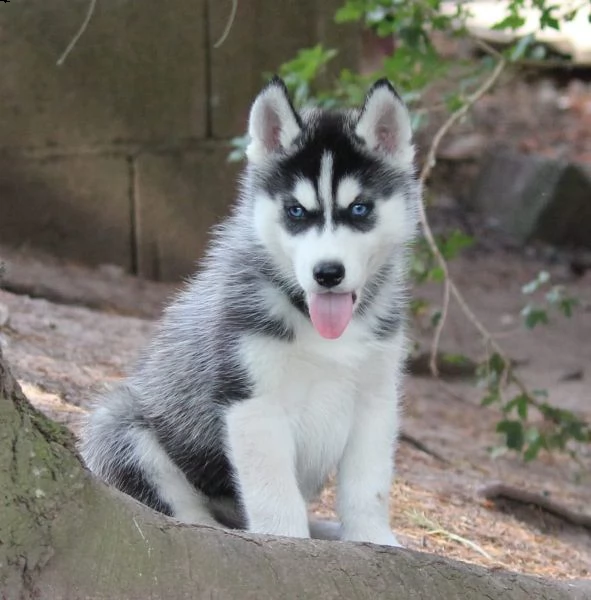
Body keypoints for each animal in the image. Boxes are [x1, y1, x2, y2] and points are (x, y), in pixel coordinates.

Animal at [80, 75, 420, 544]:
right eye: (296, 211)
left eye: (359, 209)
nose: (327, 273)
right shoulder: (252, 401)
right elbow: (274, 496)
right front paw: (286, 543)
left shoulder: (376, 397)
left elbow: (368, 488)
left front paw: (373, 540)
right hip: (119, 424)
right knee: (183, 508)